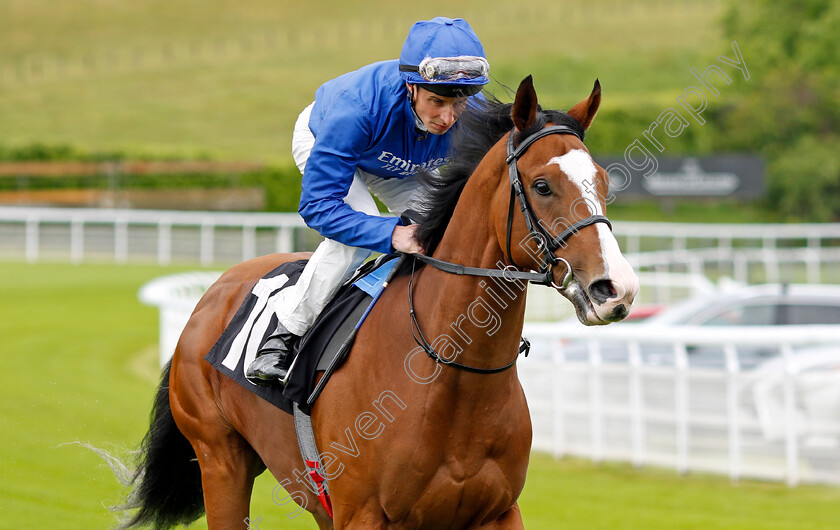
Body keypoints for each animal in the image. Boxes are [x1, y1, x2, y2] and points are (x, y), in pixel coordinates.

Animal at [120, 75, 636, 528]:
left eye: (603, 182)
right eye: (543, 185)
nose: (616, 288)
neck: (453, 374)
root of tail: (213, 293)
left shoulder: (498, 512)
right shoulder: (363, 512)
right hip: (221, 459)